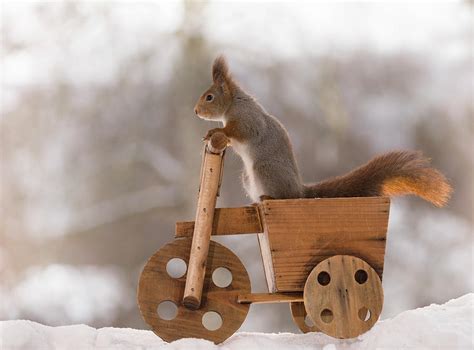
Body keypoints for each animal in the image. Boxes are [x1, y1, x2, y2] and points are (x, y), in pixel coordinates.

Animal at [193, 55, 452, 206]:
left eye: (209, 97)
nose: (195, 111)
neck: (233, 103)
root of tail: (300, 192)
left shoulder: (249, 119)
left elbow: (241, 131)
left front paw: (218, 132)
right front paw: (212, 135)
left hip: (265, 169)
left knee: (283, 196)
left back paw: (269, 197)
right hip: (249, 178)